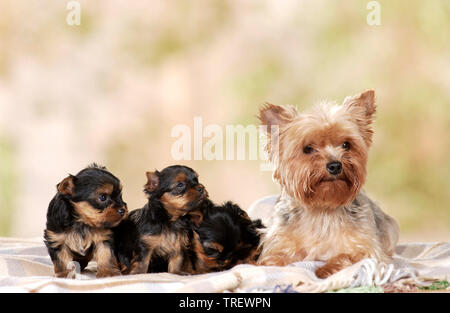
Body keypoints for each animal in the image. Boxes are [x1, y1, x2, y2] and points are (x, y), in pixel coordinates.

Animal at [255, 89, 400, 276]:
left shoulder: (368, 249)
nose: (335, 165)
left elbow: (347, 255)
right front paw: (270, 264)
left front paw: (326, 269)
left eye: (346, 145)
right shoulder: (279, 242)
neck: (322, 209)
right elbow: (273, 258)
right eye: (308, 148)